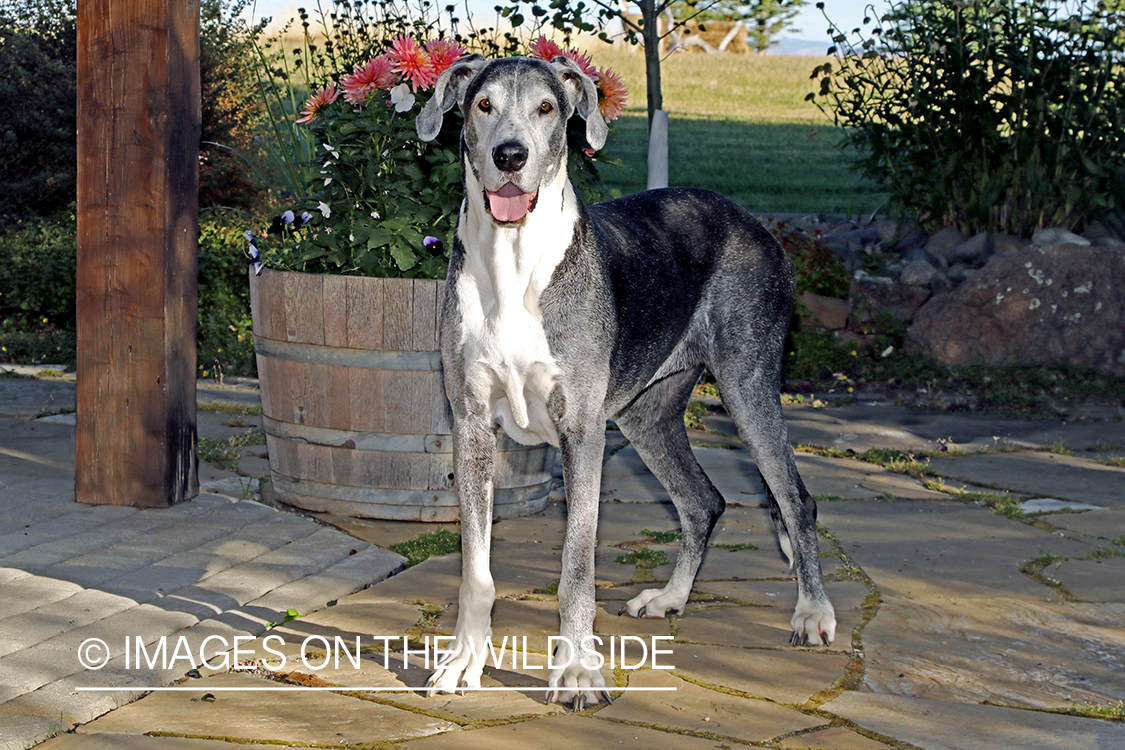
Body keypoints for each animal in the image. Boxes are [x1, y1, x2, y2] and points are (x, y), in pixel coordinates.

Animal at [416, 55, 837, 706]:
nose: (509, 156)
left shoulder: (582, 433)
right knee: (703, 501)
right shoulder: (472, 427)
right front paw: (465, 661)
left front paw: (577, 671)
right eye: (483, 104)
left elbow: (576, 568)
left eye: (546, 108)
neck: (514, 262)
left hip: (747, 386)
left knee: (796, 499)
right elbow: (476, 570)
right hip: (647, 415)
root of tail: (754, 221)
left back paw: (813, 613)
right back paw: (670, 598)